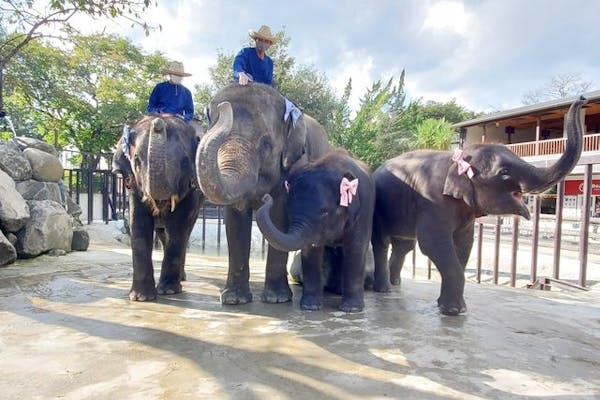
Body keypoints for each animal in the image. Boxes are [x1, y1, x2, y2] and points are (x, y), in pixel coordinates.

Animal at [112, 112, 204, 300]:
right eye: (137, 161)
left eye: (185, 162)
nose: (158, 122)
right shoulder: (134, 188)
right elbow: (138, 223)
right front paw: (141, 298)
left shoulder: (191, 191)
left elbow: (178, 226)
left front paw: (168, 291)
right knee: (163, 233)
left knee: (184, 231)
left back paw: (180, 279)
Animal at [196, 83, 332, 304]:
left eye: (266, 144)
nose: (223, 107)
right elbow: (235, 219)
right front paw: (233, 299)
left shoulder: (295, 167)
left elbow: (279, 217)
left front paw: (277, 299)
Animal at [254, 150, 376, 312]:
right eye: (289, 209)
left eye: (324, 212)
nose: (266, 197)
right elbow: (311, 250)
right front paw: (310, 307)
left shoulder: (364, 208)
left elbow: (356, 246)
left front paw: (352, 309)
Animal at [370, 96, 584, 316]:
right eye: (504, 172)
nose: (581, 99)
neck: (457, 160)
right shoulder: (433, 202)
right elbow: (433, 244)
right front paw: (453, 311)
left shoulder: (463, 213)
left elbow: (464, 245)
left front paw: (450, 307)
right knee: (382, 243)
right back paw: (384, 289)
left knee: (404, 245)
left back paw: (395, 283)